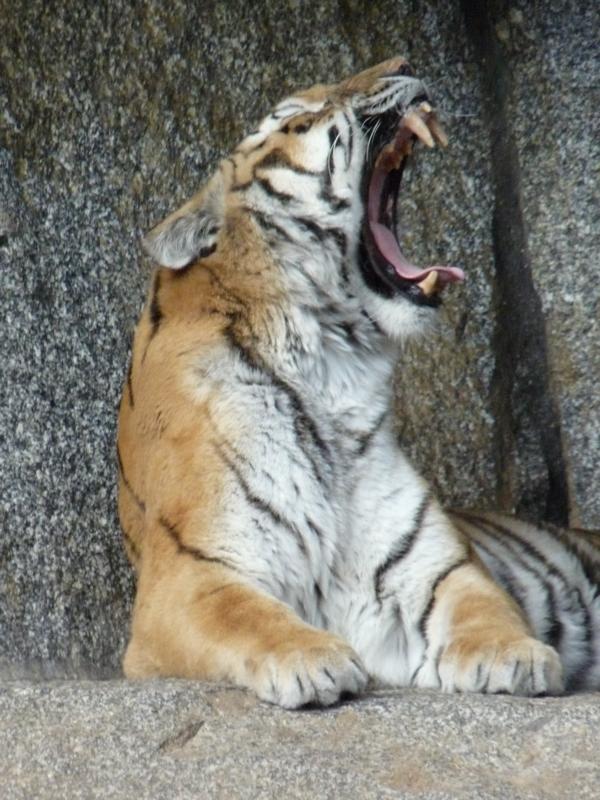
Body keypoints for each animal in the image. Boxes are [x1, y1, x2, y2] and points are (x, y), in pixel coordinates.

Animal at [117, 57, 600, 708]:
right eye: (296, 116)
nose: (403, 63)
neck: (330, 367)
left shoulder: (434, 563)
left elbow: (483, 605)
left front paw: (515, 654)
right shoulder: (192, 574)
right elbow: (245, 614)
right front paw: (311, 659)